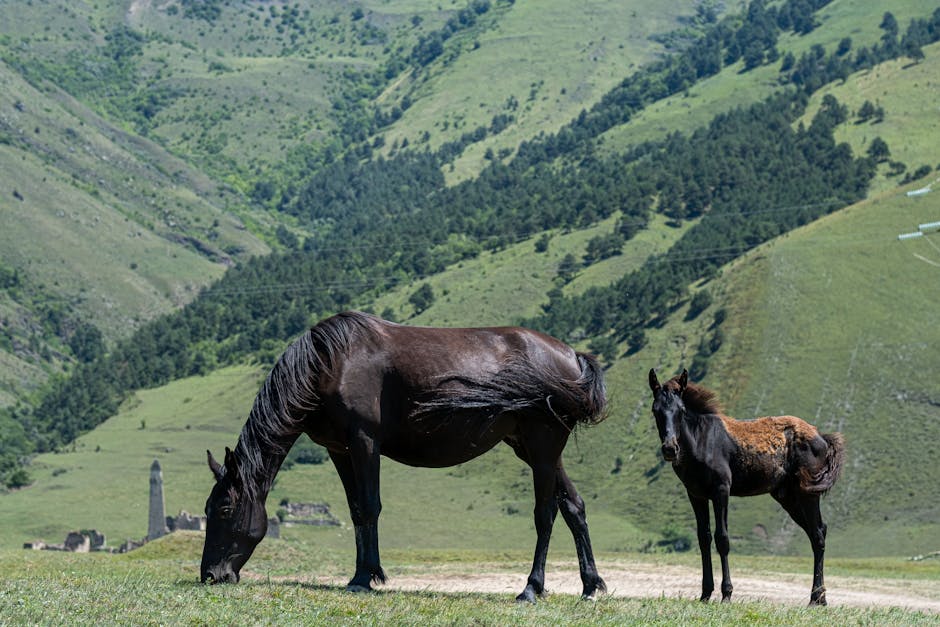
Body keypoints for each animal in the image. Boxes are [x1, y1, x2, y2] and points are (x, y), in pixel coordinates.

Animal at [201, 312, 604, 600]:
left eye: (224, 509)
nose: (210, 575)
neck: (332, 364)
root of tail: (572, 357)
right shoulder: (339, 450)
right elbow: (356, 511)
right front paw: (362, 573)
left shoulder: (365, 442)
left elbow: (369, 507)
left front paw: (365, 577)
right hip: (534, 450)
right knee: (574, 506)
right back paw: (590, 586)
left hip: (542, 448)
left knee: (545, 514)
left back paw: (531, 588)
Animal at [648, 370, 844, 604]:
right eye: (655, 410)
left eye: (681, 410)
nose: (670, 448)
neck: (701, 440)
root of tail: (821, 437)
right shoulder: (696, 494)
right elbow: (703, 539)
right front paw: (705, 594)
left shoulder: (721, 490)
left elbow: (722, 538)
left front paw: (726, 594)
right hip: (788, 497)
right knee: (818, 531)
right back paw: (820, 597)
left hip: (808, 493)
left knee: (818, 535)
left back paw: (816, 598)